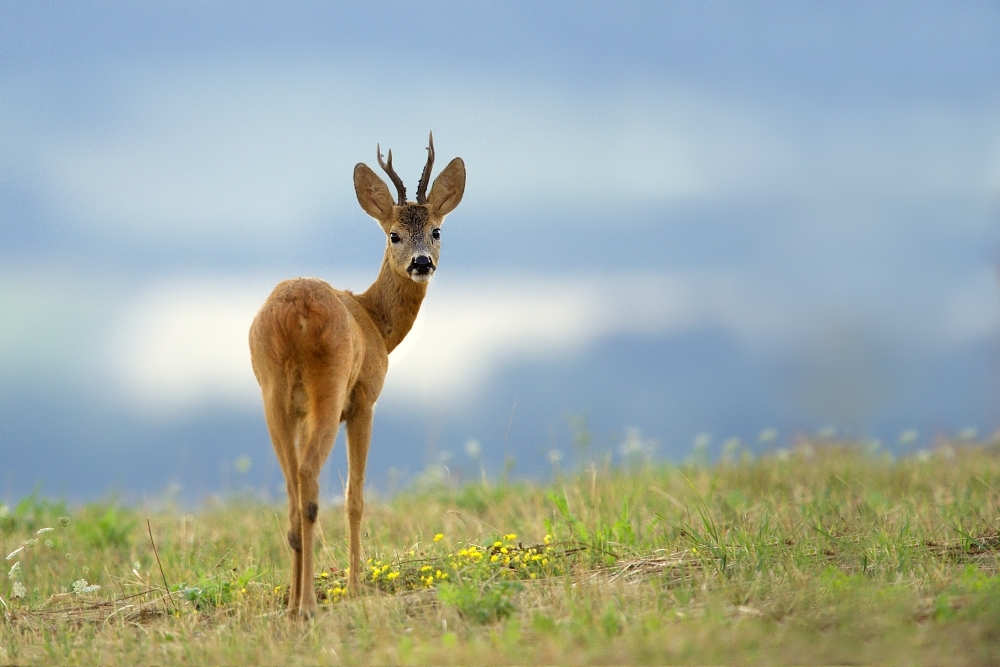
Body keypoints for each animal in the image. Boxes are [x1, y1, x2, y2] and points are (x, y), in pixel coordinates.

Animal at [250, 136, 468, 620]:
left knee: (291, 491)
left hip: (272, 395)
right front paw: (355, 587)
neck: (375, 323)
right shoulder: (365, 400)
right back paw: (308, 605)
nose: (421, 262)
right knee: (309, 482)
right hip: (328, 390)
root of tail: (293, 318)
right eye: (394, 234)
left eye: (436, 231)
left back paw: (292, 605)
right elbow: (355, 498)